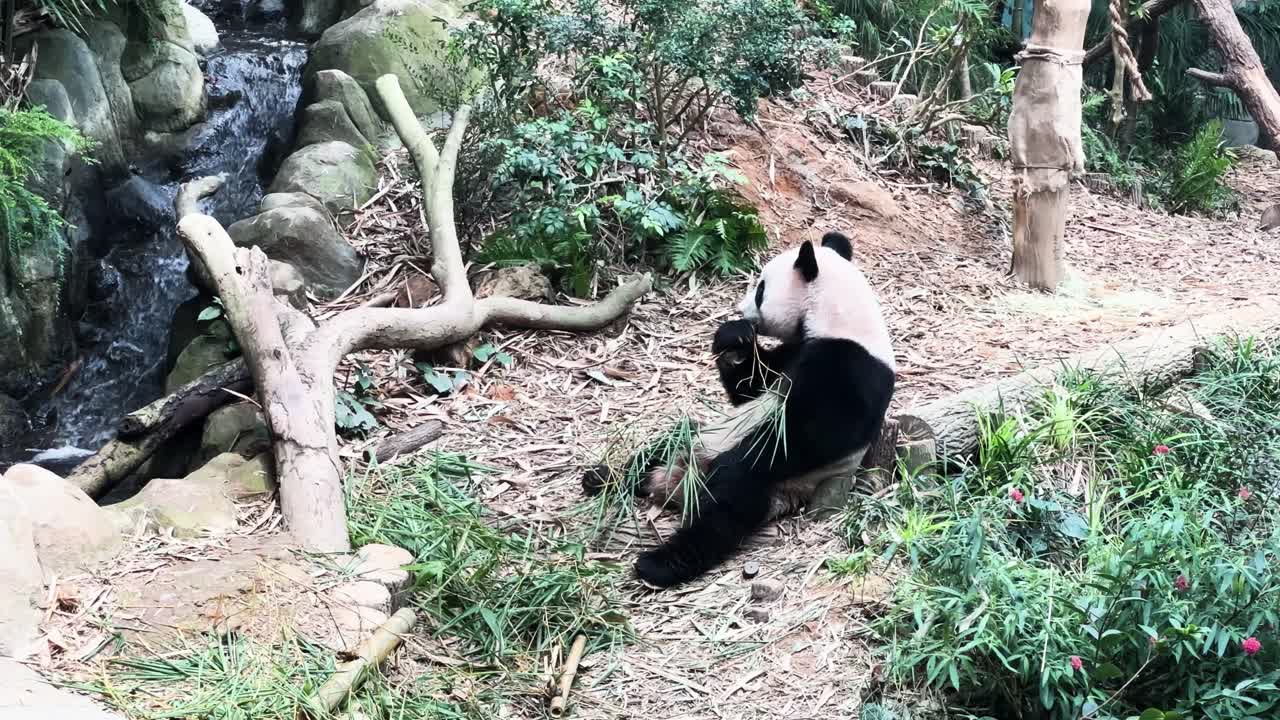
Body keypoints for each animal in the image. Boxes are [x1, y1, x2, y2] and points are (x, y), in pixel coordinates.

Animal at [583, 231, 896, 588]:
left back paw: (660, 563)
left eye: (760, 290)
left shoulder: (852, 366)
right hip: (703, 437)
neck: (839, 314)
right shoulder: (793, 354)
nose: (741, 310)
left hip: (776, 484)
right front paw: (734, 338)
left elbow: (810, 432)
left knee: (726, 509)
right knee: (665, 445)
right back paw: (605, 477)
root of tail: (676, 482)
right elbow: (750, 389)